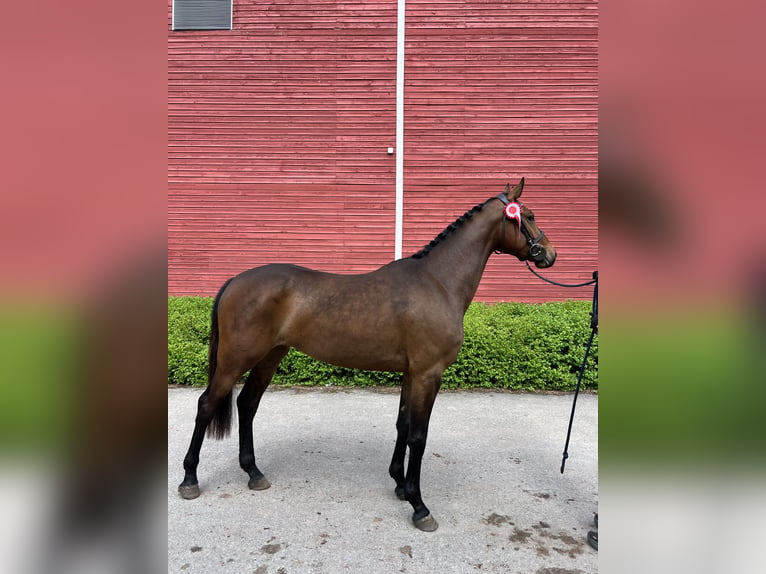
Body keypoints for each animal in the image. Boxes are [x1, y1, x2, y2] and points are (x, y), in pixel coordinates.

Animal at [178, 178, 556, 532]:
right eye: (529, 216)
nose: (550, 254)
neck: (437, 282)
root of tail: (235, 281)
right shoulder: (428, 374)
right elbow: (419, 436)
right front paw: (420, 506)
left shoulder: (411, 373)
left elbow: (403, 425)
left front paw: (400, 484)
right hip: (235, 360)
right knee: (207, 404)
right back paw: (190, 479)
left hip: (270, 357)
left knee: (247, 405)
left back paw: (254, 472)